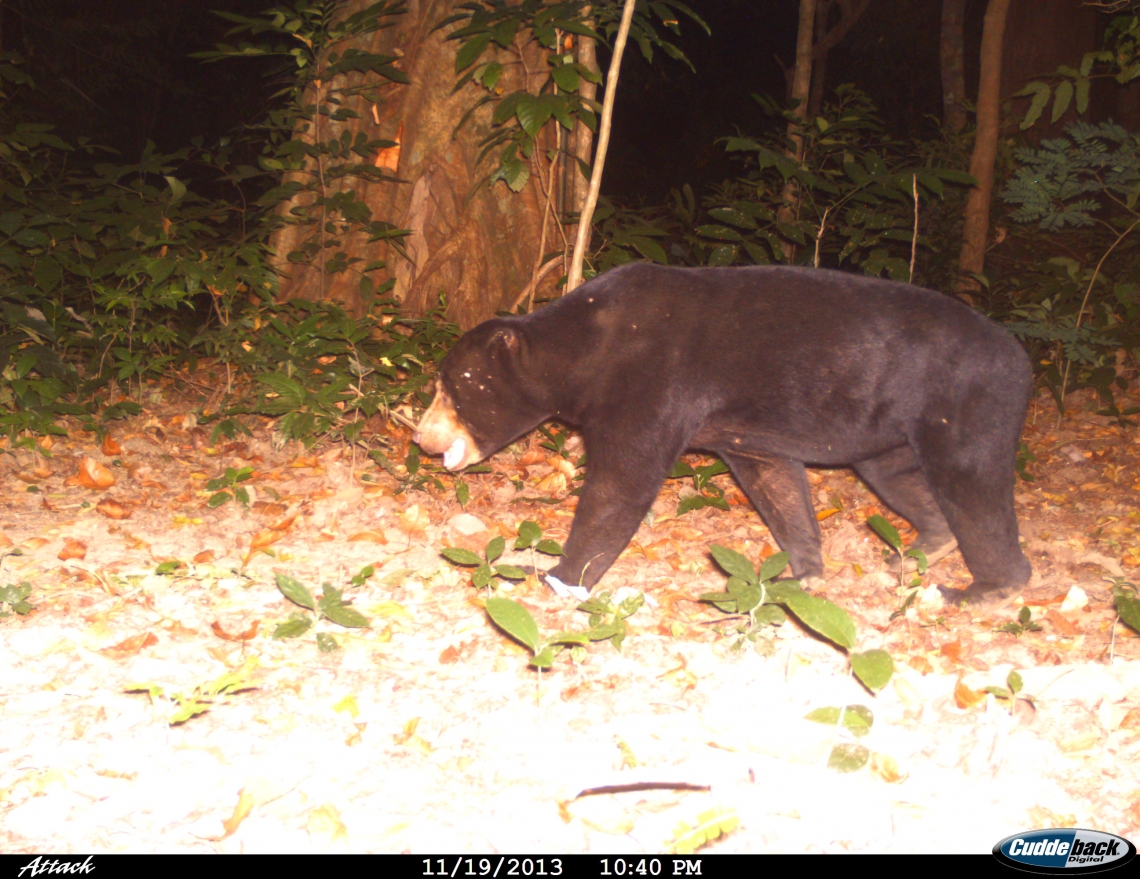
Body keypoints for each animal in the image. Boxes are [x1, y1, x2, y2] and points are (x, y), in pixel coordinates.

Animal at [417, 264, 1035, 606]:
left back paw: (987, 587)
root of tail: (1020, 355)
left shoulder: (651, 383)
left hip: (966, 401)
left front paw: (556, 576)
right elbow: (777, 483)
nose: (422, 437)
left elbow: (622, 486)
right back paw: (926, 545)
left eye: (450, 386)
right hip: (888, 426)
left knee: (972, 487)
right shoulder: (748, 431)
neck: (584, 345)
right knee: (897, 475)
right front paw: (802, 571)